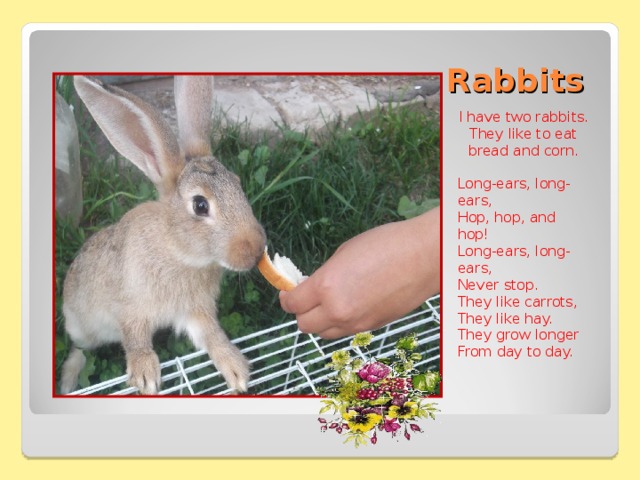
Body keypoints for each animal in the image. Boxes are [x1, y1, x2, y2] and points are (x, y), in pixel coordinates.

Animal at [59, 75, 266, 395]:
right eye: (200, 205)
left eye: (238, 184)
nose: (256, 250)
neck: (177, 251)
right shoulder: (131, 309)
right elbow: (135, 339)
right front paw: (145, 376)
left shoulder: (195, 311)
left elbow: (211, 335)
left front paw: (236, 370)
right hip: (82, 326)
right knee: (80, 350)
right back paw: (69, 381)